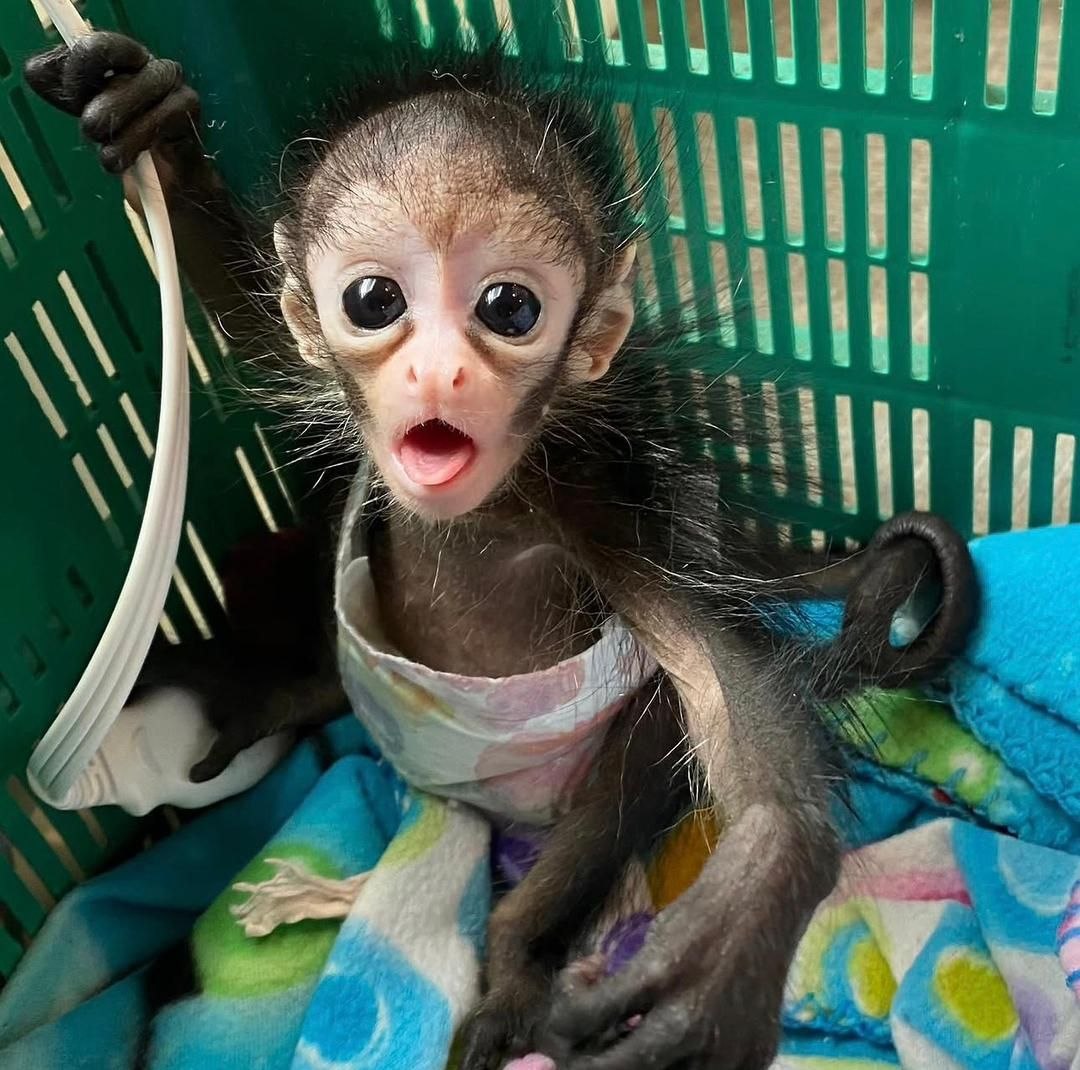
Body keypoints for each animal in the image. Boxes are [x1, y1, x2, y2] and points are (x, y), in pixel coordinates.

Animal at [25, 31, 977, 1070]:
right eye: (373, 299)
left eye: (508, 309)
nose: (441, 370)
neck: (486, 508)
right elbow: (251, 317)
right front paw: (152, 126)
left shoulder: (603, 507)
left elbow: (719, 684)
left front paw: (754, 891)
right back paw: (258, 705)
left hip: (613, 757)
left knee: (598, 812)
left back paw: (514, 971)